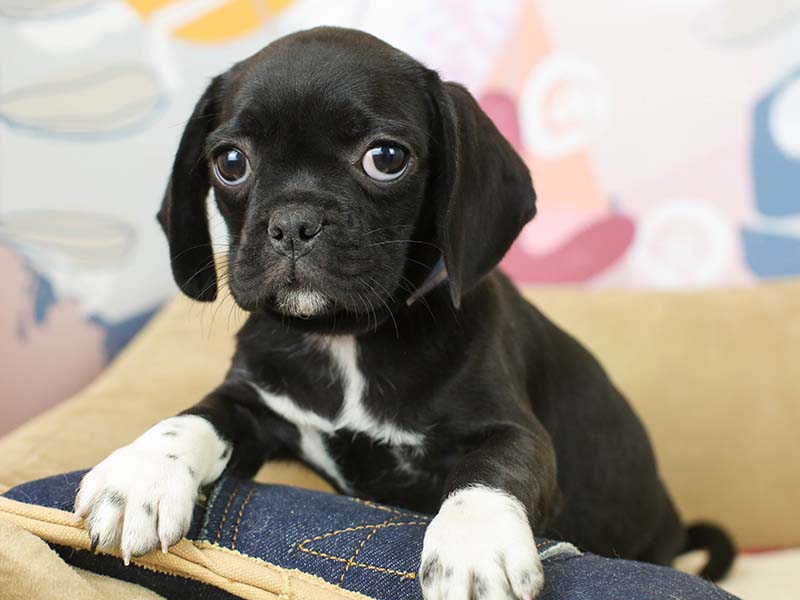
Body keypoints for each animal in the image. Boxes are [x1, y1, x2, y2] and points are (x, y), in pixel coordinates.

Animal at [78, 28, 736, 600]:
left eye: (386, 157)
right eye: (231, 162)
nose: (293, 223)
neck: (345, 337)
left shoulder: (513, 430)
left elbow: (491, 470)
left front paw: (474, 548)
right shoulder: (254, 403)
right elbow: (192, 417)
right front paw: (138, 477)